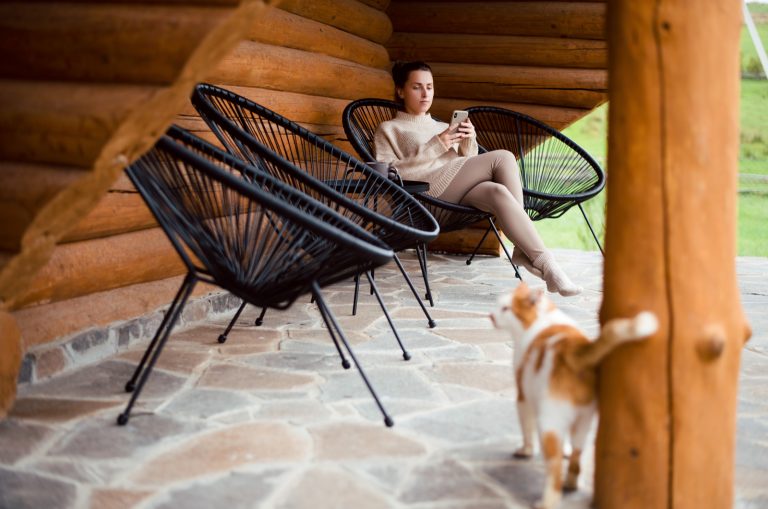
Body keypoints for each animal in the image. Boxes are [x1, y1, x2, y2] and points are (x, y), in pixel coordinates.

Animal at [488, 282, 656, 508]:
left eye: (505, 309)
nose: (491, 315)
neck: (541, 320)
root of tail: (575, 351)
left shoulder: (523, 398)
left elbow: (526, 430)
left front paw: (526, 450)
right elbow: (566, 446)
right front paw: (565, 449)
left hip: (549, 421)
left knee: (554, 466)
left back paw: (547, 500)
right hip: (584, 421)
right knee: (576, 456)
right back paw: (571, 483)